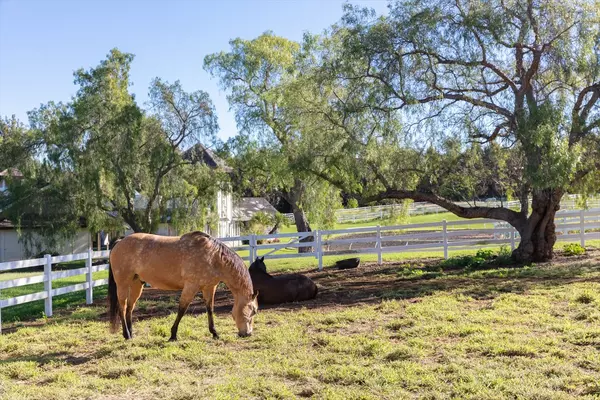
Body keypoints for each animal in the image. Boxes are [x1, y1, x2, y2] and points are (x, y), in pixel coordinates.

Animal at [108, 231, 258, 340]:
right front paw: (173, 335)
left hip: (137, 284)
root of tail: (119, 242)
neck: (213, 257)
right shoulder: (191, 286)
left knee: (130, 308)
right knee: (122, 307)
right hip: (122, 284)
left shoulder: (209, 288)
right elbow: (182, 309)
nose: (248, 333)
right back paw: (126, 335)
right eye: (254, 311)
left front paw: (215, 333)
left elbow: (210, 309)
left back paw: (131, 333)